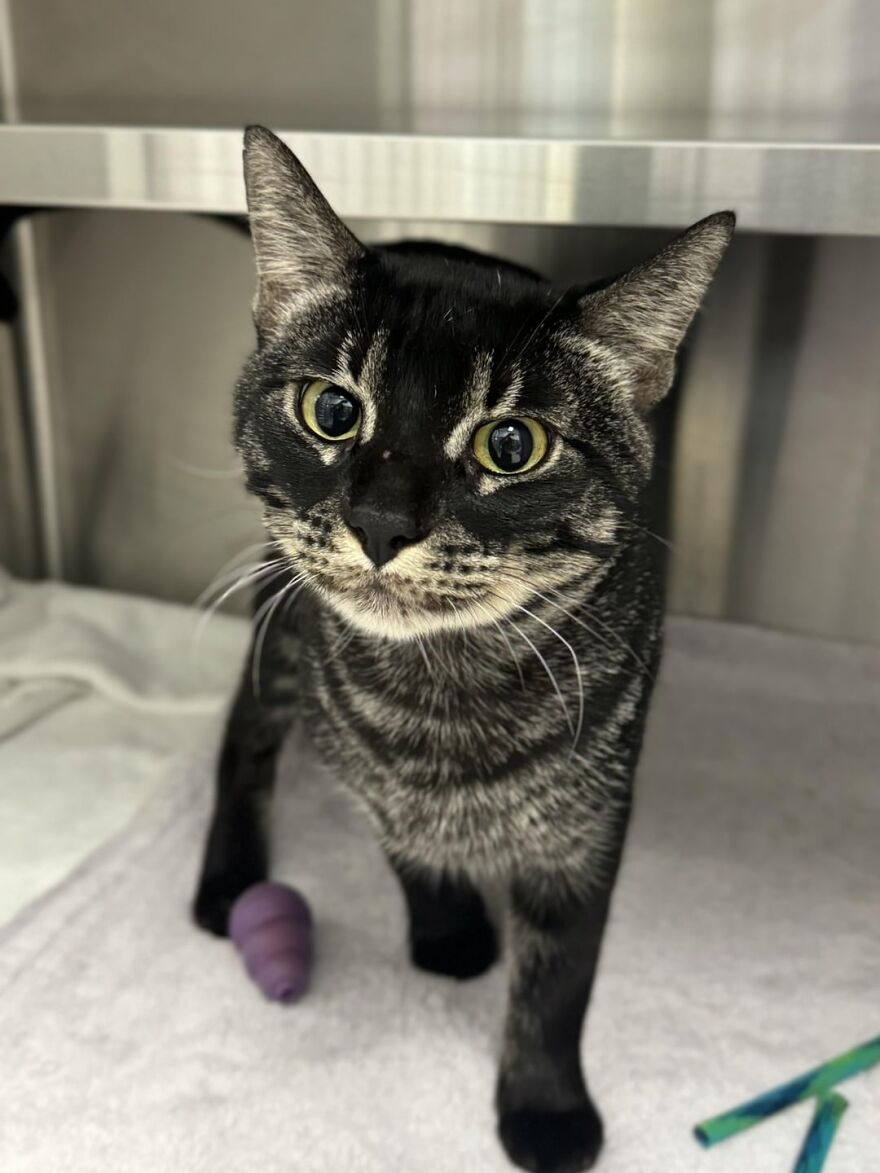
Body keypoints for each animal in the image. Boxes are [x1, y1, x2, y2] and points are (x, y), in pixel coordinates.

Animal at [194, 123, 736, 1168]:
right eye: (332, 410)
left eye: (511, 445)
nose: (378, 522)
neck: (442, 693)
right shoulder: (363, 762)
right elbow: (408, 848)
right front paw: (449, 933)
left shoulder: (591, 821)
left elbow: (560, 982)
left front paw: (546, 1108)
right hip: (276, 623)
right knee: (243, 737)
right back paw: (226, 878)